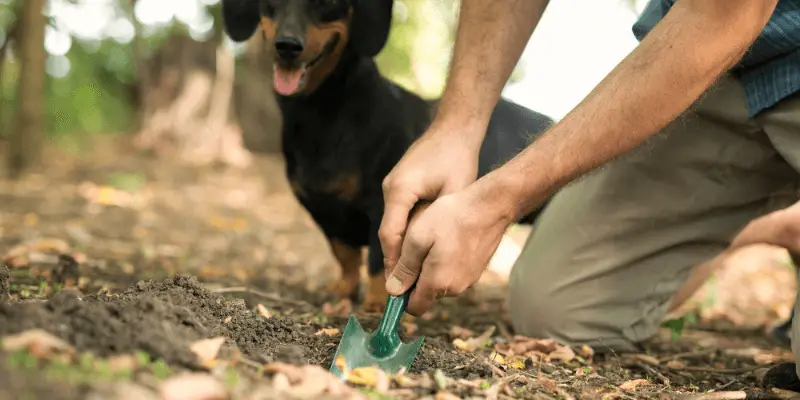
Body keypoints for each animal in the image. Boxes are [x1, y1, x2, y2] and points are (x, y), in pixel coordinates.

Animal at [222, 0, 552, 312]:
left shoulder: (382, 206)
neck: (323, 115)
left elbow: (377, 261)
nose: (287, 46)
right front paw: (343, 291)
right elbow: (344, 255)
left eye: (327, 2)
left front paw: (375, 303)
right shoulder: (322, 211)